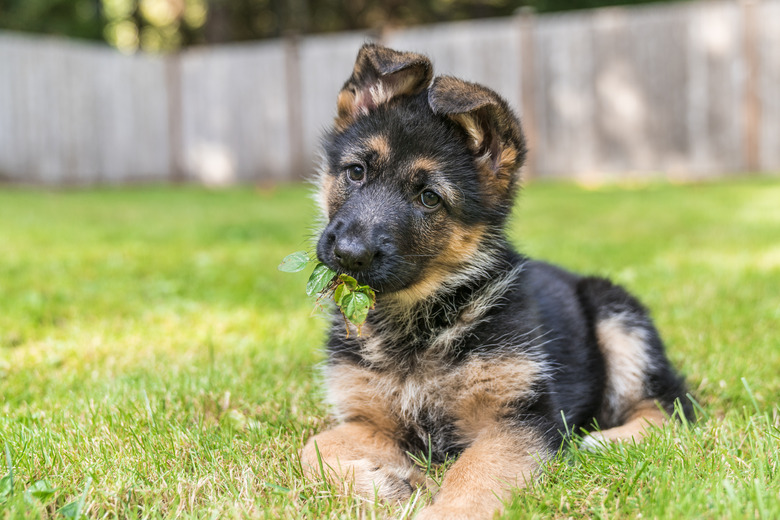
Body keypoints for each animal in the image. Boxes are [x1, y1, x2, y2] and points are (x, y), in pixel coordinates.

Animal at [302, 43, 692, 516]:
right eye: (356, 172)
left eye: (429, 198)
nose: (348, 254)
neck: (419, 322)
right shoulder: (369, 418)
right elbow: (312, 447)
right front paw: (387, 484)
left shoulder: (519, 418)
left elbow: (475, 473)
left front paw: (443, 509)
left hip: (617, 318)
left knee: (672, 406)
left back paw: (607, 441)